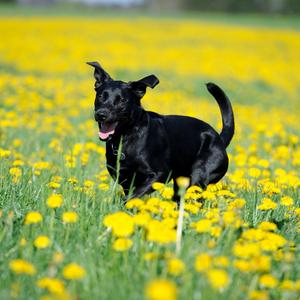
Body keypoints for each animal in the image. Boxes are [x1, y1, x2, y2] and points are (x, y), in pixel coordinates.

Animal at [86, 61, 234, 202]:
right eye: (100, 96)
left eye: (122, 100)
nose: (101, 114)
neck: (125, 138)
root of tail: (219, 139)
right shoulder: (125, 179)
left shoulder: (159, 175)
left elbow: (133, 196)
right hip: (181, 181)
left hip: (199, 176)